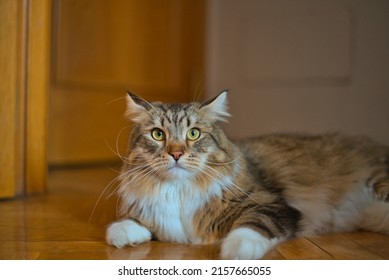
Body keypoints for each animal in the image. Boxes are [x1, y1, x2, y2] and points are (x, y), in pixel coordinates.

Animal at [105, 91, 388, 260]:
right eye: (158, 134)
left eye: (194, 134)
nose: (176, 153)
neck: (179, 190)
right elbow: (134, 224)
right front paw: (121, 233)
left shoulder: (271, 205)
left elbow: (249, 227)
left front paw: (235, 250)